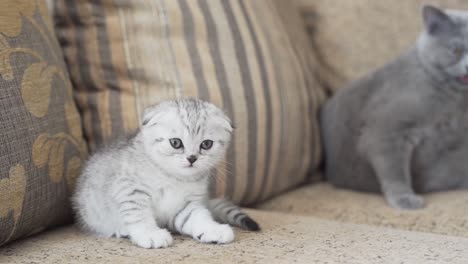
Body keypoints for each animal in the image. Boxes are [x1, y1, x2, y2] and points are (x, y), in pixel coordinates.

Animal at [72, 98, 260, 249]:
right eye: (176, 143)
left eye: (206, 144)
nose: (192, 158)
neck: (172, 177)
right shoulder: (130, 189)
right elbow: (138, 215)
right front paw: (150, 233)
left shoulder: (185, 205)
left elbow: (198, 217)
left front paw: (212, 229)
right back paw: (121, 230)